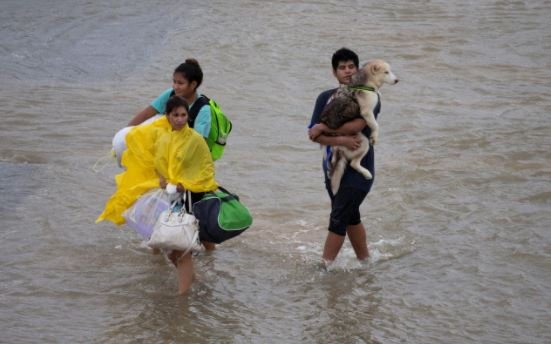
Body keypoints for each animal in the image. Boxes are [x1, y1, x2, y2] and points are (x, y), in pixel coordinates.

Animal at [322, 58, 398, 194]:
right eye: (386, 72)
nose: (397, 80)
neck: (365, 82)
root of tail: (338, 148)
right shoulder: (367, 112)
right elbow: (376, 125)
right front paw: (375, 136)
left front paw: (379, 93)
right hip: (363, 142)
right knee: (354, 164)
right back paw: (366, 173)